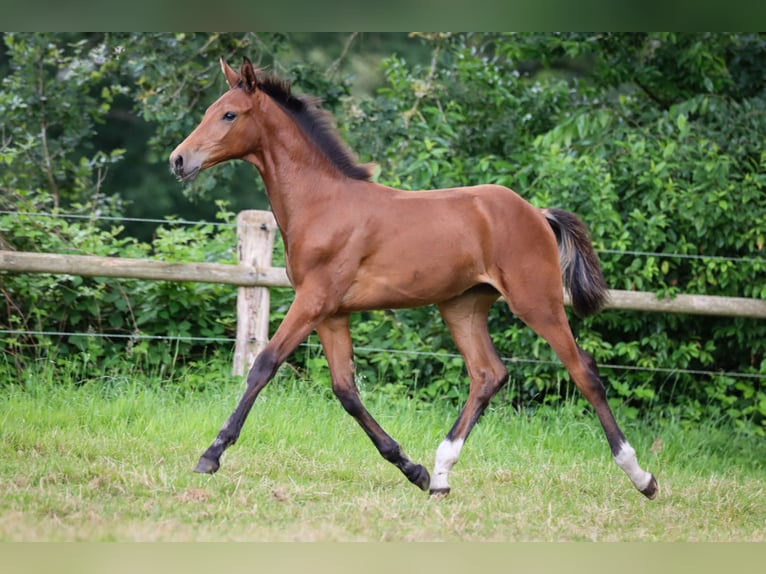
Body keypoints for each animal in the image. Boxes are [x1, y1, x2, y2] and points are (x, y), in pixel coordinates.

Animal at [170, 56, 660, 502]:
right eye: (209, 110)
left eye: (229, 114)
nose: (178, 160)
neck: (321, 203)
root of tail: (536, 213)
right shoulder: (331, 312)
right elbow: (346, 391)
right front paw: (412, 468)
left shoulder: (313, 300)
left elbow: (264, 365)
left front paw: (211, 455)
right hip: (462, 305)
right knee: (488, 374)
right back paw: (440, 475)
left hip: (536, 301)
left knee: (583, 371)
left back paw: (642, 477)